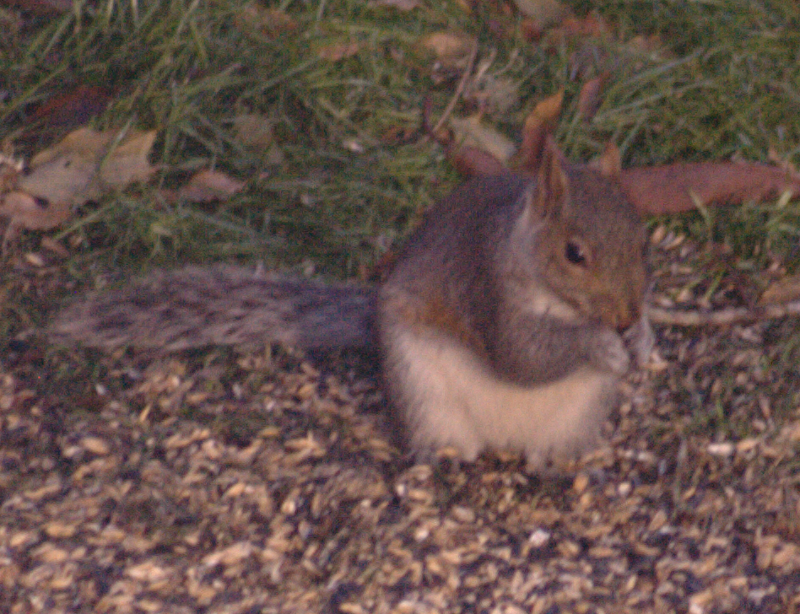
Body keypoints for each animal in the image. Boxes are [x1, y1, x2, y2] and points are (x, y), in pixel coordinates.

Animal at [50, 138, 653, 468]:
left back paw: (564, 465)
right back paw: (443, 457)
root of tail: (503, 440)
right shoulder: (487, 292)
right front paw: (601, 344)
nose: (626, 316)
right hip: (420, 388)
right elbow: (523, 356)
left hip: (578, 413)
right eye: (574, 253)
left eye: (641, 235)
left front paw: (644, 342)